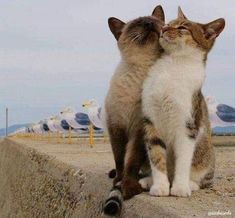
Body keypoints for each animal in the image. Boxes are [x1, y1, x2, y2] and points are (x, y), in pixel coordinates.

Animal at [103, 5, 165, 215]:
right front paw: (118, 181)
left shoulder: (139, 130)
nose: (148, 23)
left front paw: (128, 187)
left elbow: (131, 163)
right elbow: (120, 160)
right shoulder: (116, 126)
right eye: (138, 24)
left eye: (153, 21)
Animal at [140, 7, 225, 198]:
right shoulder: (151, 120)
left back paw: (191, 184)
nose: (163, 28)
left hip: (207, 154)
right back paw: (148, 180)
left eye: (182, 28)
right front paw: (160, 186)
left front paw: (179, 187)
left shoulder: (188, 124)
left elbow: (184, 158)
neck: (172, 64)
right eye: (168, 23)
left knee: (205, 180)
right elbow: (156, 154)